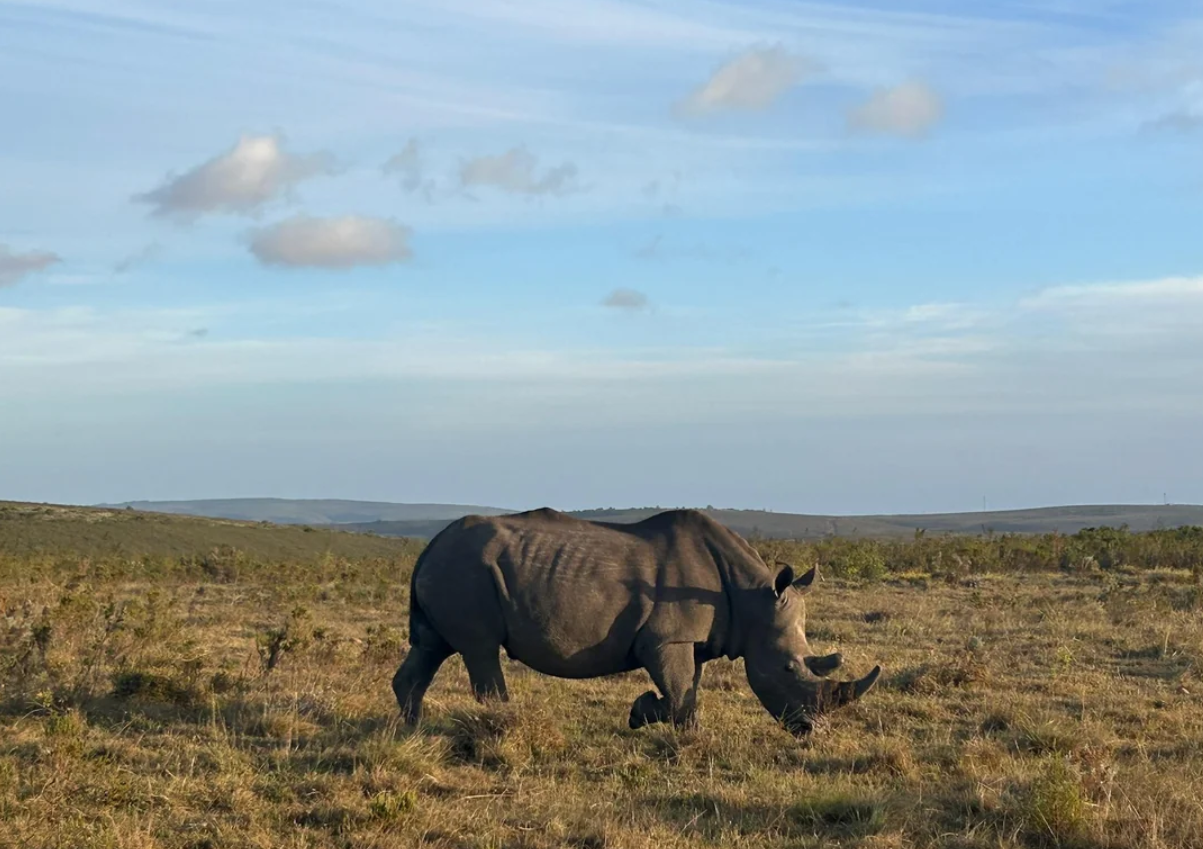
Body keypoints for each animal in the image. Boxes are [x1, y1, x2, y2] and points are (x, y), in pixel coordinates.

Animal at [392, 508, 880, 735]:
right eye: (787, 668)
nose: (813, 731)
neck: (752, 598)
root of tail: (427, 548)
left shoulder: (690, 640)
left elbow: (688, 689)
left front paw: (653, 717)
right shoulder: (666, 638)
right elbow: (680, 692)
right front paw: (659, 720)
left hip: (452, 570)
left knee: (430, 646)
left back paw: (410, 729)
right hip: (466, 571)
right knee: (480, 648)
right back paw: (501, 725)